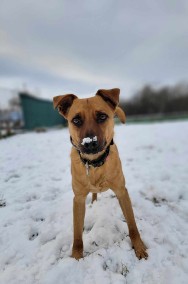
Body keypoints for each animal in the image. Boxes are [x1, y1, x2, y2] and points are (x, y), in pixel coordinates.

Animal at [53, 88, 148, 260]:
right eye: (76, 120)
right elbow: (77, 234)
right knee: (94, 194)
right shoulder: (78, 199)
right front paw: (76, 257)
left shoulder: (122, 191)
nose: (90, 143)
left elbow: (132, 225)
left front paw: (138, 247)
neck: (95, 163)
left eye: (102, 116)